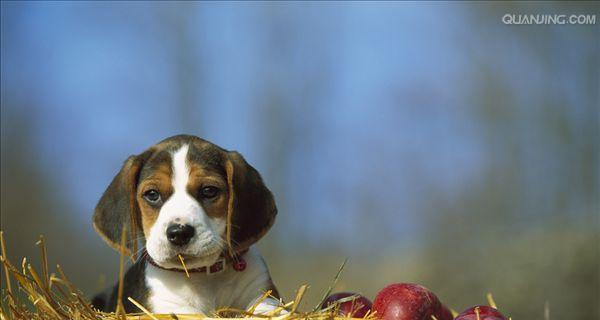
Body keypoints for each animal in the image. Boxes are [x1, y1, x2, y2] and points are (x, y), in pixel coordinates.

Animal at [91, 135, 282, 316]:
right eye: (152, 194)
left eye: (209, 191)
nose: (179, 233)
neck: (203, 277)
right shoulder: (168, 306)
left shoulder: (263, 292)